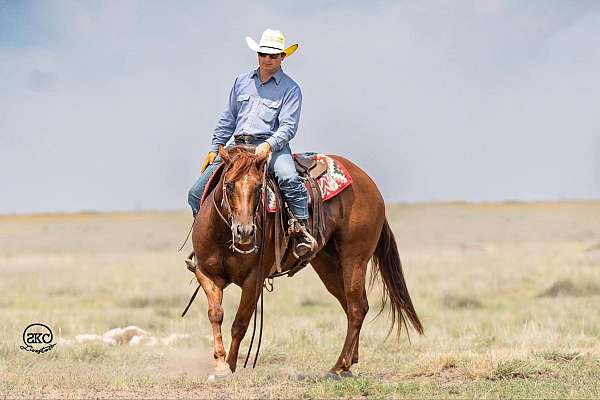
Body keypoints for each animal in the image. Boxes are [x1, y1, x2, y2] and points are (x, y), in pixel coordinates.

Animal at [190, 145, 424, 380]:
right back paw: (349, 363)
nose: (245, 232)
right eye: (229, 185)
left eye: (258, 187)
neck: (223, 236)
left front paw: (229, 366)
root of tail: (368, 183)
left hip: (355, 260)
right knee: (353, 305)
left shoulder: (253, 279)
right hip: (327, 265)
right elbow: (215, 314)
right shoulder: (206, 274)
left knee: (357, 308)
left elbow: (240, 323)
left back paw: (339, 366)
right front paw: (220, 365)